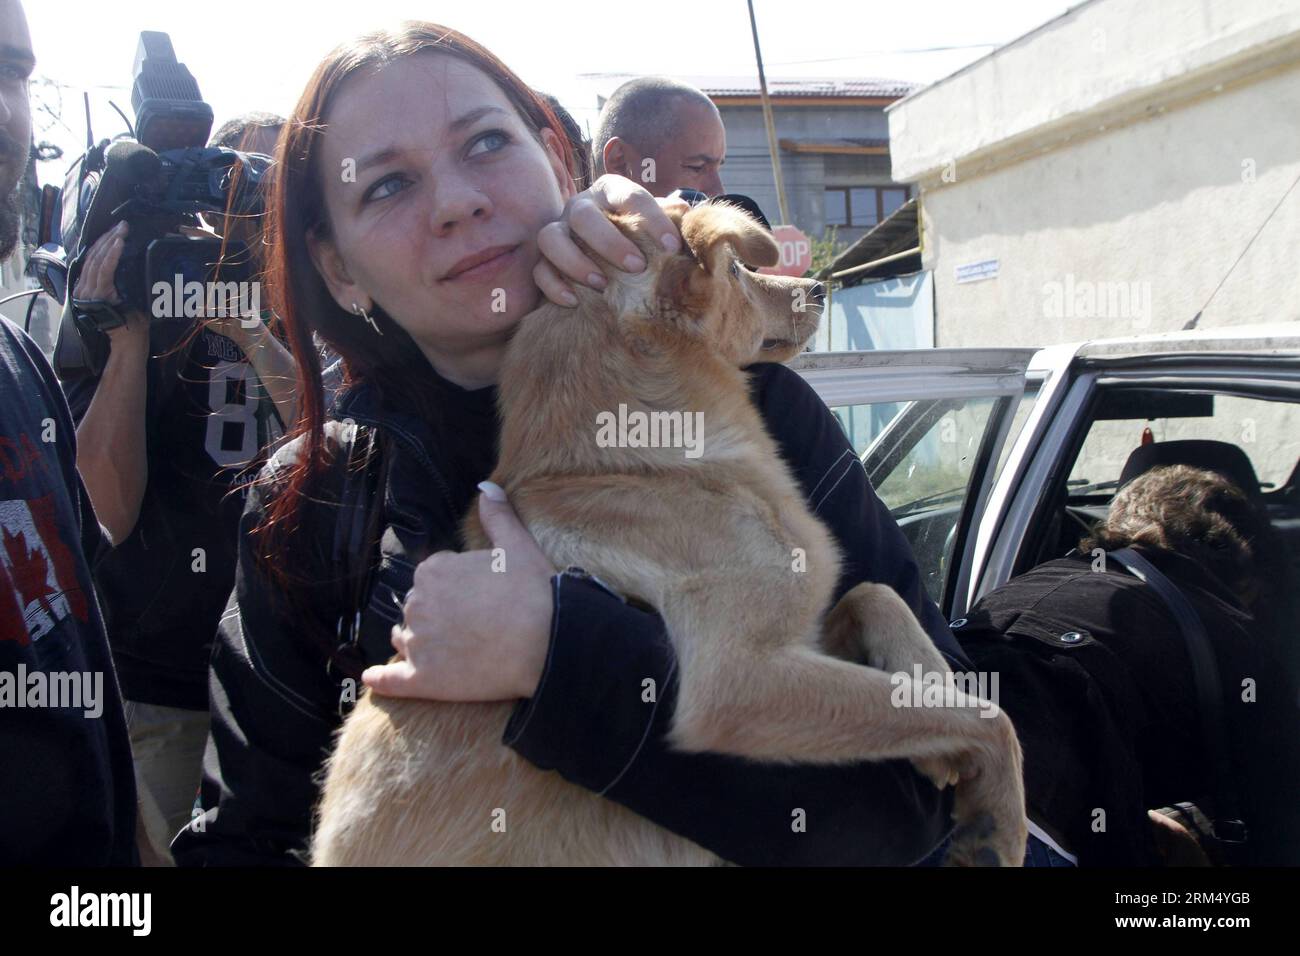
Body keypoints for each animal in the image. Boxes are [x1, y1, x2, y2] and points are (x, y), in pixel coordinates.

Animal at [306, 201, 1024, 868]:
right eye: (738, 269)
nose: (819, 289)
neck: (635, 460)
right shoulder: (739, 681)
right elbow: (992, 720)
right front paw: (1002, 821)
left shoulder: (801, 635)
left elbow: (877, 597)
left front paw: (935, 689)